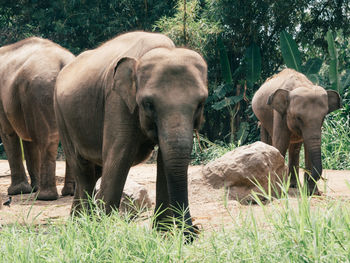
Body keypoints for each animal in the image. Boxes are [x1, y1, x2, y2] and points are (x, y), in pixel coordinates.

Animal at [0, 37, 75, 200]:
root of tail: (63, 62)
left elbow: (8, 133)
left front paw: (18, 191)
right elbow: (29, 141)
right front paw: (32, 188)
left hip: (41, 89)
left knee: (47, 139)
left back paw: (45, 196)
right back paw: (69, 192)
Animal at [54, 31, 208, 237]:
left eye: (200, 104)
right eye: (148, 104)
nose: (194, 233)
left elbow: (164, 161)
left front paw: (161, 236)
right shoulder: (117, 100)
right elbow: (119, 156)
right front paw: (104, 234)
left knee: (94, 171)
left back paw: (77, 226)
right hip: (62, 117)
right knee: (83, 170)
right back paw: (85, 228)